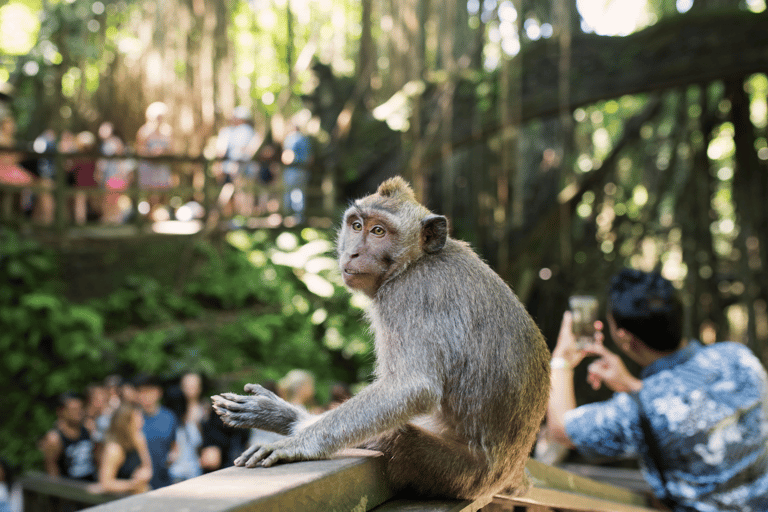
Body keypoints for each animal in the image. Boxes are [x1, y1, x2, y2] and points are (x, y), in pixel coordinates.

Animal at [212, 176, 550, 500]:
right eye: (356, 226)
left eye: (378, 231)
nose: (353, 252)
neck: (416, 261)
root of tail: (509, 470)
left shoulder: (409, 295)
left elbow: (412, 386)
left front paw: (298, 444)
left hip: (459, 472)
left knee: (397, 438)